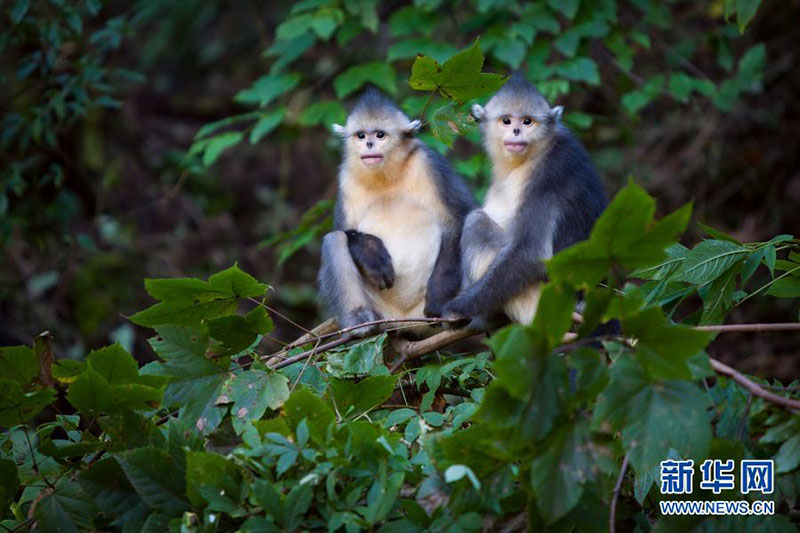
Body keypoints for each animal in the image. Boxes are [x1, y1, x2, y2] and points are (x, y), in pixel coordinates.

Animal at [316, 89, 476, 334]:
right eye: (361, 135)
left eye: (380, 135)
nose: (369, 144)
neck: (386, 177)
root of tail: (403, 319)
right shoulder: (346, 178)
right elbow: (344, 230)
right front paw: (371, 252)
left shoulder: (428, 162)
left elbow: (460, 221)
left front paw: (439, 297)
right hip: (381, 311)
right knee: (334, 239)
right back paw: (360, 321)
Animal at [444, 72, 608, 326]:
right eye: (506, 121)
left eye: (527, 121)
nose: (516, 131)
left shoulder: (549, 174)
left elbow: (529, 253)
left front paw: (457, 307)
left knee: (476, 222)